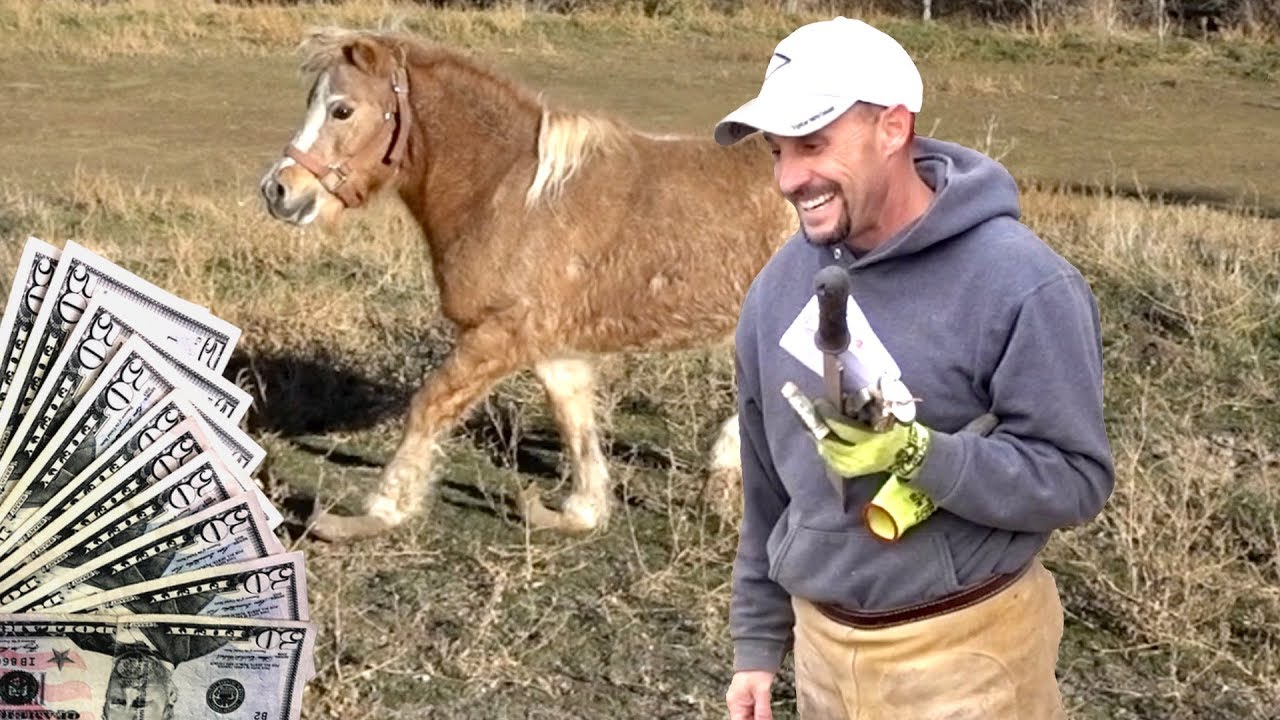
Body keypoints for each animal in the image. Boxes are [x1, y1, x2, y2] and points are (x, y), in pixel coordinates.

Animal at [257, 26, 794, 540]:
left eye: (342, 109)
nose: (278, 191)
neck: (510, 193)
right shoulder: (551, 346)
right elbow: (574, 419)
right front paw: (579, 511)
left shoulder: (499, 335)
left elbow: (428, 407)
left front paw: (377, 513)